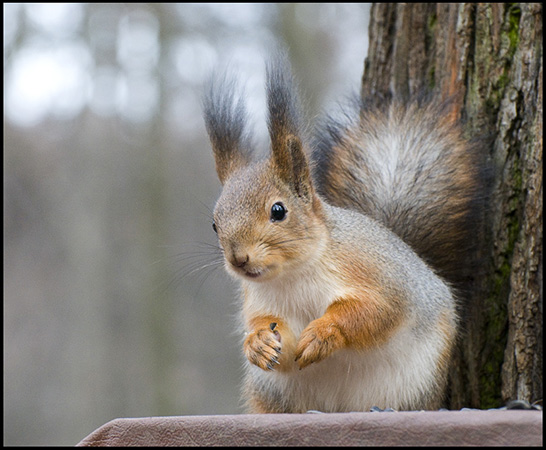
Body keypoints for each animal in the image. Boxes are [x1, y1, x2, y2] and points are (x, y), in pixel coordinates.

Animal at [202, 51, 482, 412]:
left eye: (278, 211)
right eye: (215, 223)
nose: (238, 259)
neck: (293, 275)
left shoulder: (379, 277)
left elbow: (375, 312)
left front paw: (324, 333)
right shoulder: (260, 302)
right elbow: (267, 333)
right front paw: (259, 342)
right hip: (271, 394)